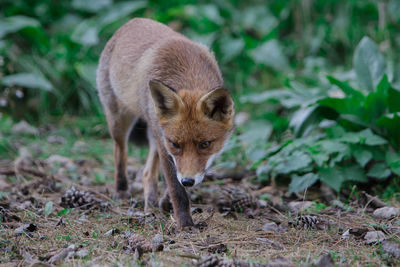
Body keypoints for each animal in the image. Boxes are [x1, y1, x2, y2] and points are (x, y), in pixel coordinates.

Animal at [96, 18, 234, 228]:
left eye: (205, 144)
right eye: (175, 144)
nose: (188, 181)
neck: (188, 72)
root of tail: (133, 21)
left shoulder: (165, 144)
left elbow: (173, 179)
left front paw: (167, 202)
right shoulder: (166, 145)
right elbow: (177, 189)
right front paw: (185, 224)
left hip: (154, 132)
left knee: (147, 173)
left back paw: (152, 203)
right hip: (120, 119)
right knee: (119, 151)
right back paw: (121, 190)